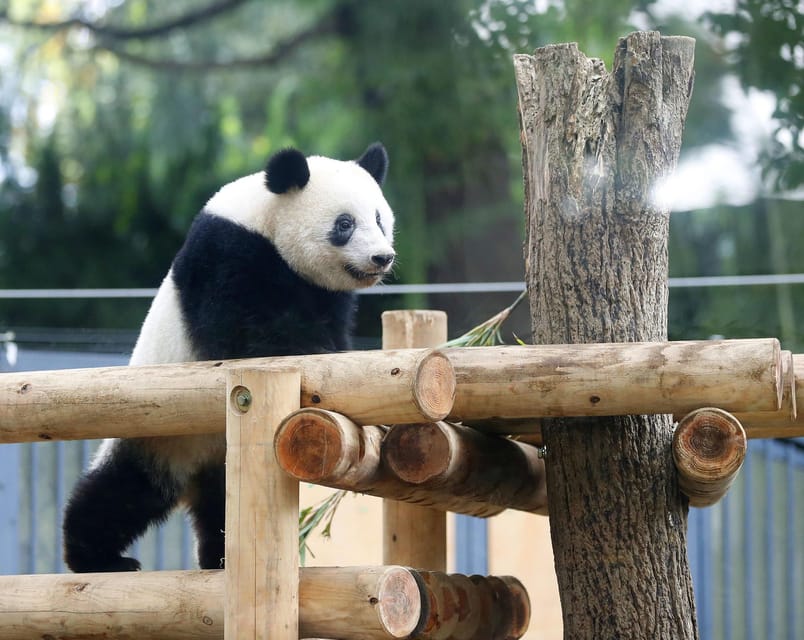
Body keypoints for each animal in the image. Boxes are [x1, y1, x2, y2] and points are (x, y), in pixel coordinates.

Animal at [64, 142, 398, 572]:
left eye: (380, 219)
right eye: (345, 224)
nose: (381, 258)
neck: (264, 220)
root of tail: (190, 475)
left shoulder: (325, 295)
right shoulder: (227, 254)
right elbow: (248, 333)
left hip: (217, 460)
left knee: (215, 506)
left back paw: (219, 557)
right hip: (157, 436)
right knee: (123, 490)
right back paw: (98, 557)